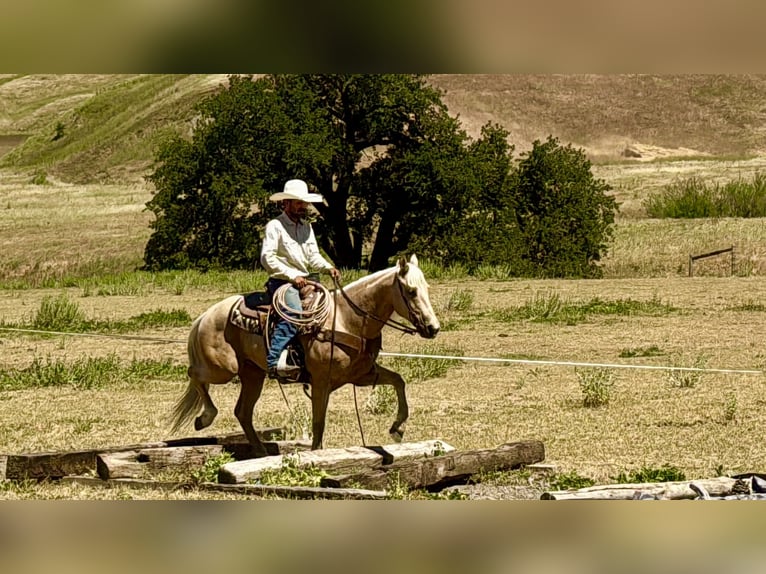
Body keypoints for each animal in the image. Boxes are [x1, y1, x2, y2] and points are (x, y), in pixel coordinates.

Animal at [170, 254, 441, 457]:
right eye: (411, 291)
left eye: (426, 288)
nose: (433, 328)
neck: (346, 319)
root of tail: (205, 316)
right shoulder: (321, 382)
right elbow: (318, 423)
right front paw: (316, 455)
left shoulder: (361, 375)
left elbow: (398, 381)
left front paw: (397, 428)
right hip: (223, 369)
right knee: (194, 374)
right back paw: (205, 418)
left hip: (252, 374)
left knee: (242, 412)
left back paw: (261, 452)